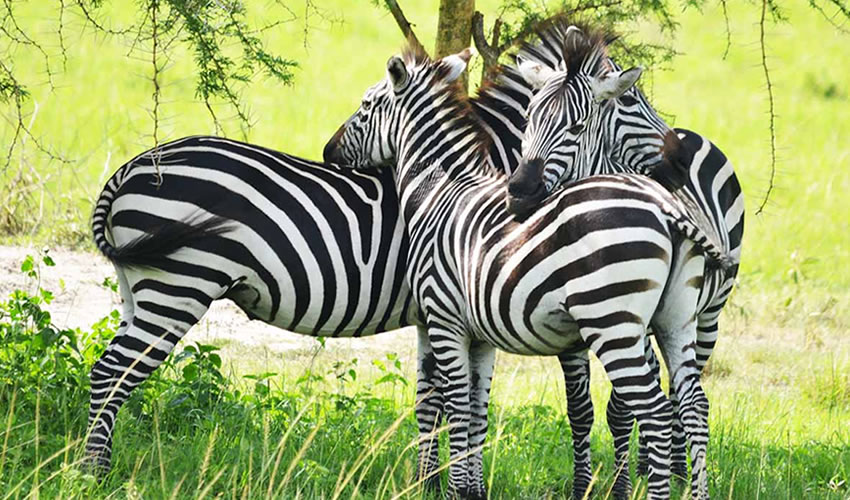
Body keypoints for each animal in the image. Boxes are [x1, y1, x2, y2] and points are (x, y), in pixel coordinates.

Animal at [323, 45, 727, 499]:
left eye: (365, 105)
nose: (327, 151)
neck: (440, 191)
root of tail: (664, 206)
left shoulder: (445, 321)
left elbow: (456, 406)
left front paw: (453, 490)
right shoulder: (479, 335)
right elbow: (477, 410)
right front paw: (472, 489)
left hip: (613, 323)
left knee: (655, 411)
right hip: (676, 320)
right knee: (693, 406)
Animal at [506, 20, 744, 495]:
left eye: (577, 126)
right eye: (527, 120)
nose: (520, 191)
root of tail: (690, 133)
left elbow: (623, 407)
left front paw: (622, 485)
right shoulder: (580, 330)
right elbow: (583, 409)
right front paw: (591, 485)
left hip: (709, 315)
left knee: (684, 397)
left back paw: (677, 473)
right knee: (674, 396)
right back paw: (658, 468)